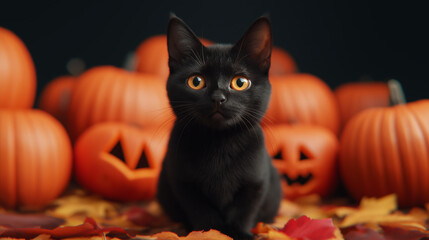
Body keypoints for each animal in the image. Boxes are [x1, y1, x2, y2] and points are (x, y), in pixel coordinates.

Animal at [156, 15, 280, 240]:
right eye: (196, 81)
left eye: (240, 82)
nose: (218, 98)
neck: (219, 143)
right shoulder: (184, 184)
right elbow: (203, 213)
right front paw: (211, 233)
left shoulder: (255, 183)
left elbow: (243, 211)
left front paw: (239, 233)